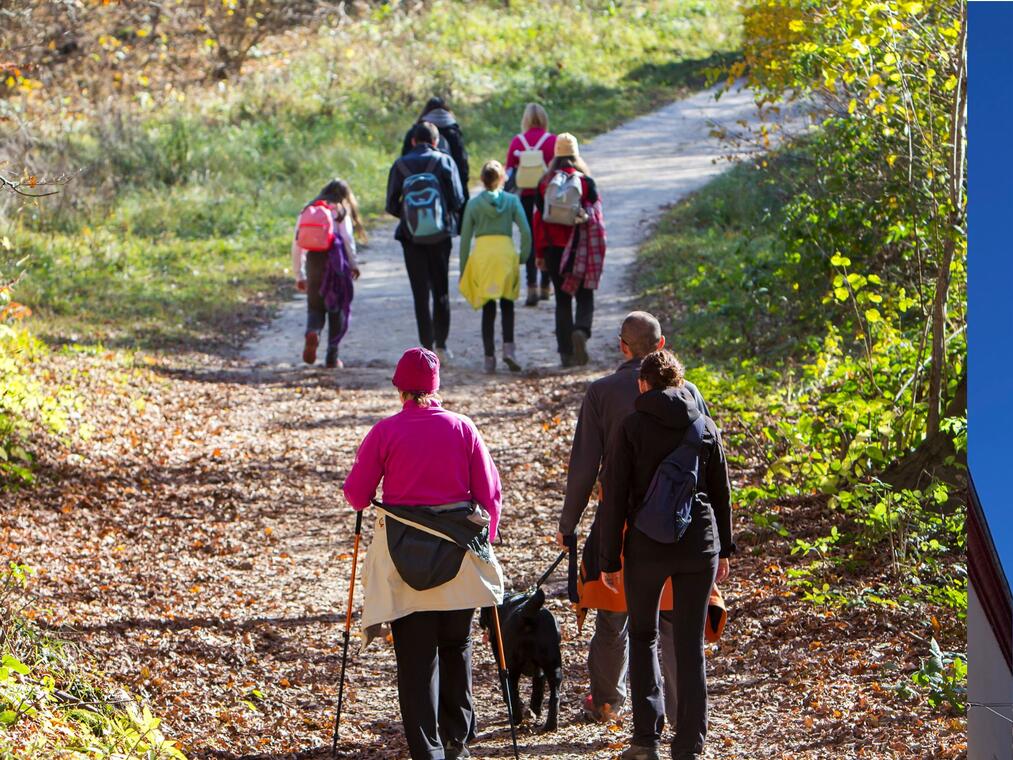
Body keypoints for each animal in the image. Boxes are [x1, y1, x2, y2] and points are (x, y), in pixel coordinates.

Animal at [480, 587, 563, 733]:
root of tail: (526, 616)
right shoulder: (540, 671)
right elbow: (538, 689)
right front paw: (535, 711)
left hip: (510, 667)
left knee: (512, 692)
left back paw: (516, 718)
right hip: (553, 665)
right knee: (555, 696)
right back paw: (550, 725)